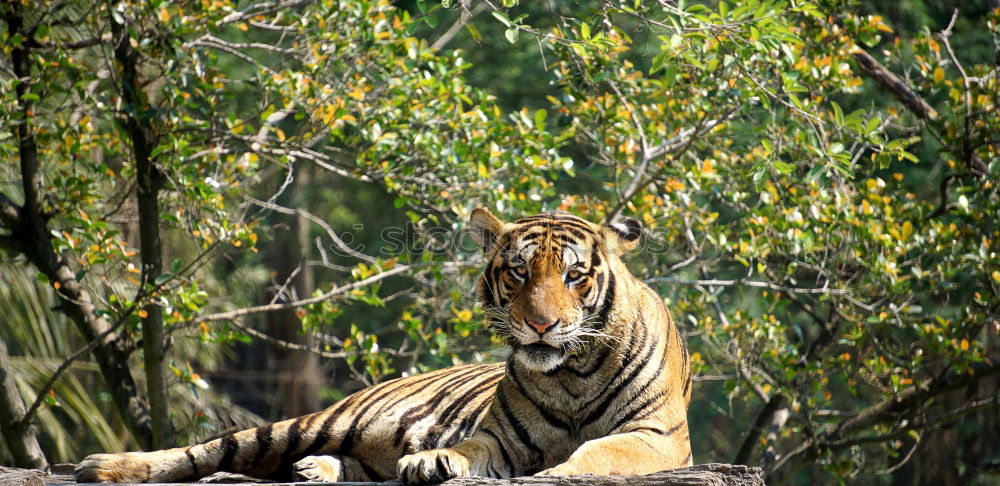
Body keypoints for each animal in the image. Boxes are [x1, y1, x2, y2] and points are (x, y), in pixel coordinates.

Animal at [74, 208, 692, 482]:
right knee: (212, 451)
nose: (540, 326)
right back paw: (102, 466)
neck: (569, 372)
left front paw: (555, 473)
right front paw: (436, 460)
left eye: (574, 276)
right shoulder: (499, 439)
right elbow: (471, 448)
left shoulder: (656, 437)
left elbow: (598, 451)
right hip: (316, 422)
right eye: (518, 272)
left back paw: (316, 470)